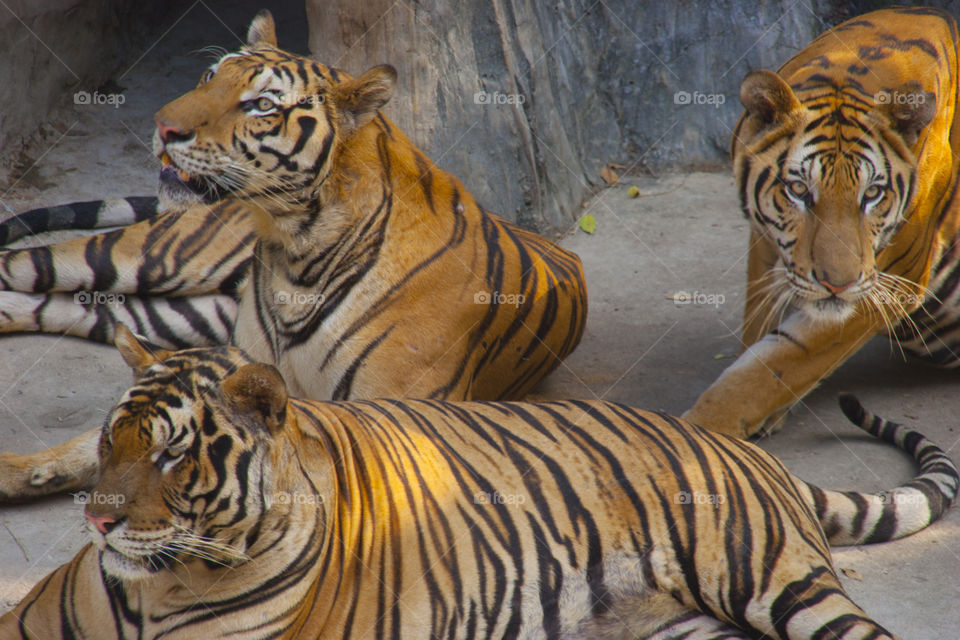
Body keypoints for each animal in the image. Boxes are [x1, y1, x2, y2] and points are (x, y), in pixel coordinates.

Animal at [0, 8, 584, 500]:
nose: (164, 127)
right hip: (141, 259)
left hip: (174, 310)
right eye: (209, 77)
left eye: (262, 105)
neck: (295, 253)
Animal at [3, 324, 956, 640]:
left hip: (775, 579)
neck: (159, 588)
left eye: (170, 456)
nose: (99, 524)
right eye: (113, 439)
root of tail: (746, 450)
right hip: (680, 630)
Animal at [680, 7, 960, 440]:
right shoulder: (766, 244)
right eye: (798, 190)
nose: (836, 284)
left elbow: (772, 370)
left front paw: (703, 434)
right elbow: (759, 331)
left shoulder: (890, 281)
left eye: (872, 194)